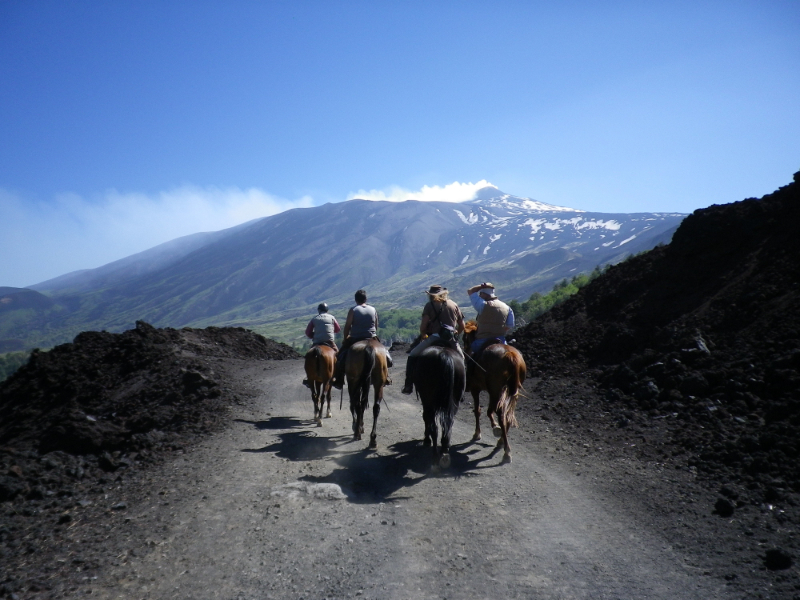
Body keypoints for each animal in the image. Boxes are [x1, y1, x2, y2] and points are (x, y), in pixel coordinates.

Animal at [462, 318, 524, 464]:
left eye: (464, 338)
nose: (466, 351)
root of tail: (511, 356)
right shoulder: (492, 392)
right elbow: (488, 410)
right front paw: (494, 427)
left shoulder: (476, 389)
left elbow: (478, 410)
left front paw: (478, 433)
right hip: (510, 392)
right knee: (507, 415)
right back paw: (501, 441)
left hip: (497, 390)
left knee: (501, 415)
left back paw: (506, 451)